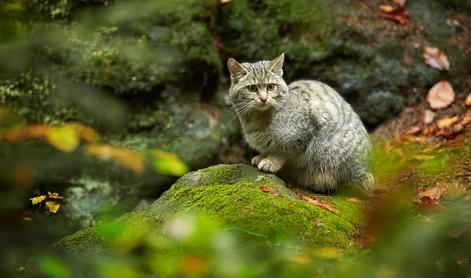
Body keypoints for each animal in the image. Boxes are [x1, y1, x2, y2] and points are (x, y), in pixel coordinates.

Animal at [227, 53, 374, 193]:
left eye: (270, 87)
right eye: (252, 88)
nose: (263, 98)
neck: (258, 119)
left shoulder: (302, 133)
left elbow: (281, 150)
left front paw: (270, 161)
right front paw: (262, 156)